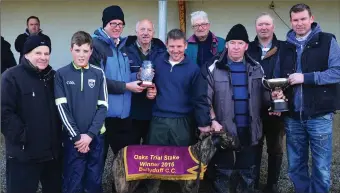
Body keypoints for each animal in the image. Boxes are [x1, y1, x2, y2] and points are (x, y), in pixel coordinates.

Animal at [111, 132, 239, 193]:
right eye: (233, 139)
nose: (241, 147)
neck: (199, 152)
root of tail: (118, 153)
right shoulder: (188, 187)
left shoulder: (193, 186)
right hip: (123, 184)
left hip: (133, 182)